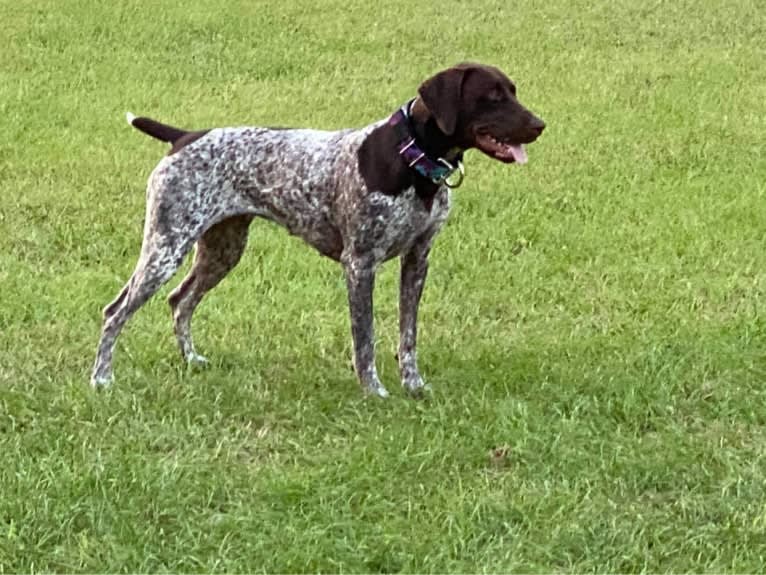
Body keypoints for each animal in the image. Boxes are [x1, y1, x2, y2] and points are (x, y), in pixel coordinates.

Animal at [90, 62, 544, 396]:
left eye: (514, 91)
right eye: (491, 96)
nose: (540, 125)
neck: (410, 157)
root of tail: (184, 136)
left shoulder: (418, 260)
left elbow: (408, 334)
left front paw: (413, 385)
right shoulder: (360, 264)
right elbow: (366, 339)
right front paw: (374, 390)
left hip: (222, 249)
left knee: (180, 301)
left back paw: (191, 360)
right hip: (166, 248)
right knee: (116, 312)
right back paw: (101, 379)